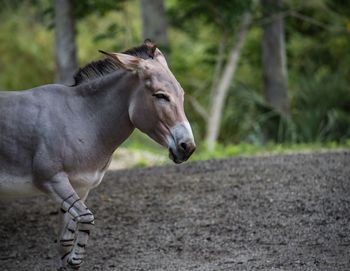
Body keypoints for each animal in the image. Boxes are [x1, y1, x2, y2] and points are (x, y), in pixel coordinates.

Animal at [0, 39, 194, 270]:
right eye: (160, 95)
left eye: (182, 94)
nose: (188, 147)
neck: (83, 118)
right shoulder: (51, 180)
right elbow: (86, 218)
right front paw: (75, 259)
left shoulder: (81, 188)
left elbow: (65, 240)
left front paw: (69, 260)